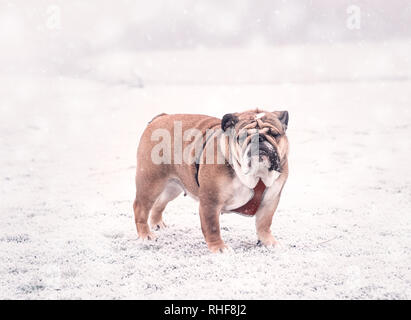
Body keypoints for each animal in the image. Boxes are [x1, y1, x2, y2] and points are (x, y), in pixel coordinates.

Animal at [134, 110, 288, 252]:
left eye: (274, 134)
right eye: (242, 136)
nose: (259, 138)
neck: (257, 174)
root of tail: (160, 117)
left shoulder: (270, 200)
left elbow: (264, 224)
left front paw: (268, 242)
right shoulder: (211, 201)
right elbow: (212, 226)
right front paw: (219, 248)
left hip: (172, 187)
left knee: (159, 203)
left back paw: (157, 223)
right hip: (150, 183)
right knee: (140, 208)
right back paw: (146, 235)